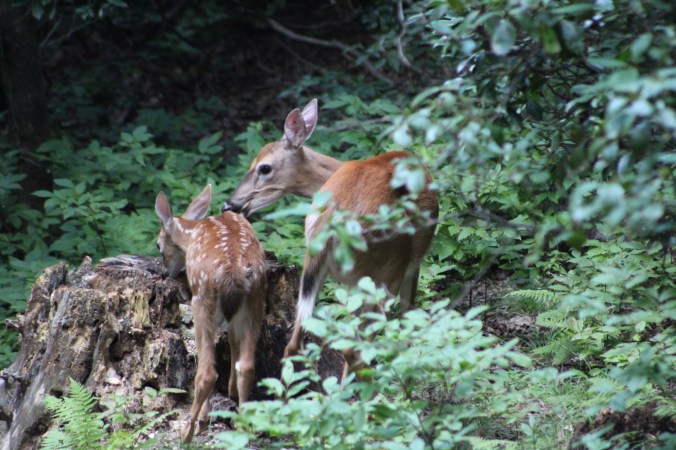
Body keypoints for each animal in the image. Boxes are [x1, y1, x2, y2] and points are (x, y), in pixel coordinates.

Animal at [154, 184, 266, 443]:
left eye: (158, 245)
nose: (165, 273)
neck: (192, 233)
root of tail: (235, 271)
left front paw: (203, 419)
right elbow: (233, 343)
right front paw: (231, 391)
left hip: (202, 299)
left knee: (206, 372)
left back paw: (187, 431)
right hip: (255, 300)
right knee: (247, 365)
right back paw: (244, 427)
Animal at [221, 99, 439, 380]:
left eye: (264, 167)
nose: (229, 204)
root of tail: (332, 218)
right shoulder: (414, 262)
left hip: (322, 266)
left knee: (295, 344)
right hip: (387, 268)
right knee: (356, 350)